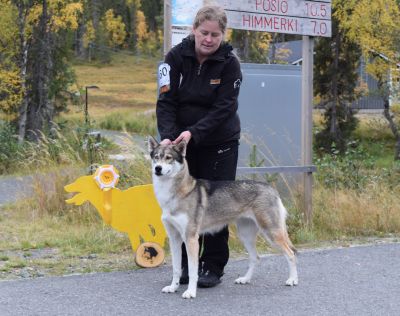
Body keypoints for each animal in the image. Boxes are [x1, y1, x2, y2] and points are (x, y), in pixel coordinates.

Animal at [148, 136, 298, 298]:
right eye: (156, 157)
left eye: (168, 158)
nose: (158, 169)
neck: (174, 195)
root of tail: (271, 188)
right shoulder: (175, 238)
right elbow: (176, 269)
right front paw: (173, 287)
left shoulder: (191, 238)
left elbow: (194, 271)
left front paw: (190, 292)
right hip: (245, 235)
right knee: (255, 258)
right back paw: (245, 279)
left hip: (271, 233)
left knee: (291, 254)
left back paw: (292, 280)